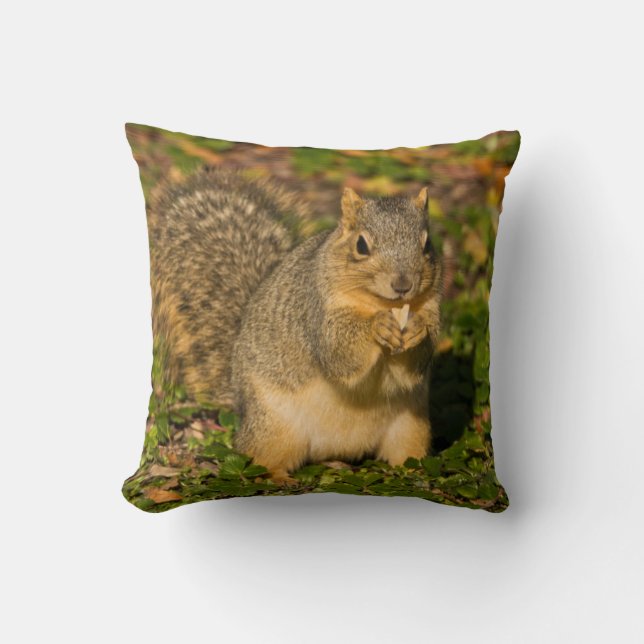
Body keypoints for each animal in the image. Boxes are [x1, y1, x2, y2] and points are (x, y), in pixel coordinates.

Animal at [149, 168, 443, 485]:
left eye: (427, 245)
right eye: (361, 245)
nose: (403, 285)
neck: (380, 303)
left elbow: (415, 365)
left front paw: (417, 330)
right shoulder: (314, 311)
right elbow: (339, 353)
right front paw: (377, 327)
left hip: (411, 427)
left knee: (404, 453)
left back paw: (412, 472)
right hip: (275, 428)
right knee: (258, 457)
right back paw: (278, 477)